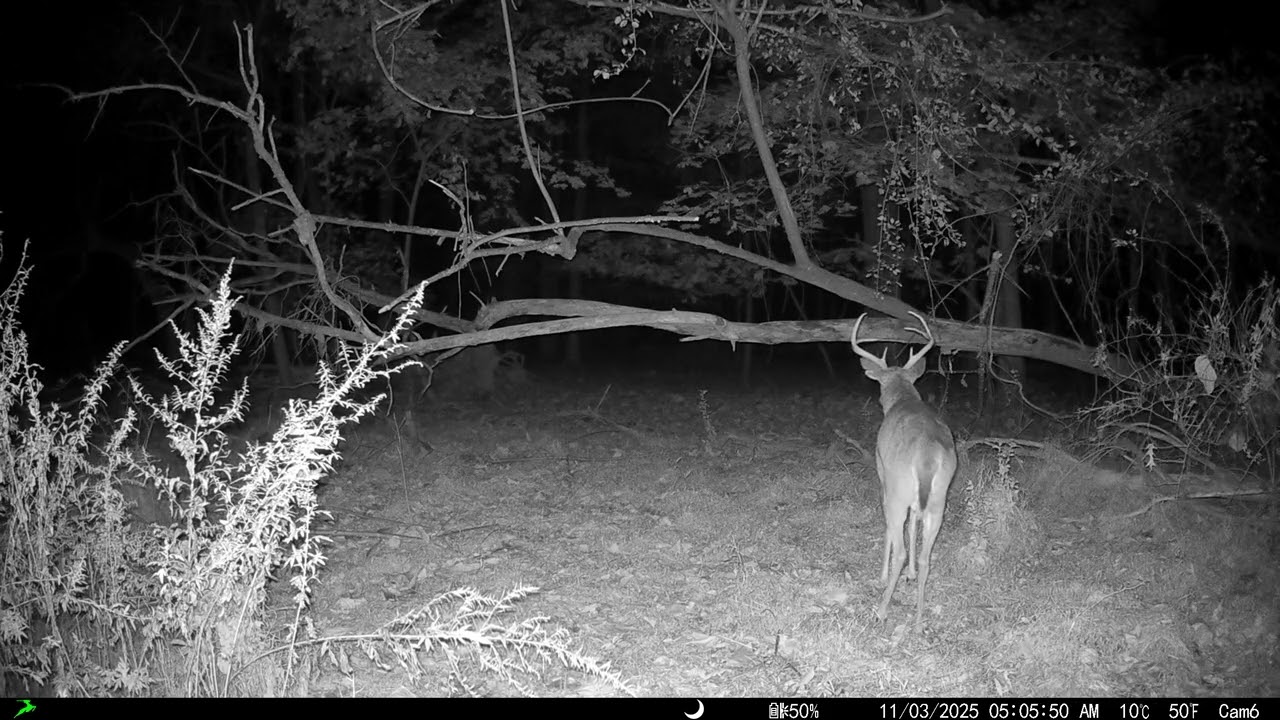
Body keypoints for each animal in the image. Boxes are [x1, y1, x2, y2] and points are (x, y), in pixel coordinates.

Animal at [850, 311, 957, 628]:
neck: (904, 398)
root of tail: (926, 456)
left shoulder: (883, 475)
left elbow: (890, 527)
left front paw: (882, 575)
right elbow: (913, 524)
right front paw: (909, 576)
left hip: (898, 488)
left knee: (900, 547)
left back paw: (881, 609)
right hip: (938, 499)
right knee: (925, 555)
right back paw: (919, 619)